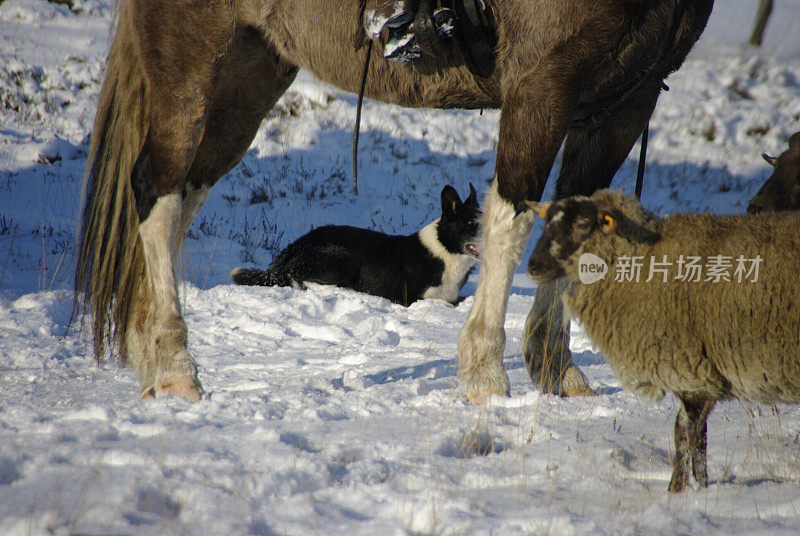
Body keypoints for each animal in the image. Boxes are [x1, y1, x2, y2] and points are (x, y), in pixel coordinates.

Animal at [75, 0, 712, 402]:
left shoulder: (623, 101)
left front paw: (559, 376)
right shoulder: (542, 85)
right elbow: (511, 227)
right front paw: (486, 378)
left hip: (247, 72)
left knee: (178, 201)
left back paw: (151, 358)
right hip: (193, 61)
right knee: (155, 195)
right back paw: (175, 368)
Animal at [528, 189, 796, 494]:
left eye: (582, 225)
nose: (532, 266)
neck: (642, 263)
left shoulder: (692, 374)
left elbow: (692, 438)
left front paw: (693, 491)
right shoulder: (702, 376)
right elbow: (685, 435)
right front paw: (680, 489)